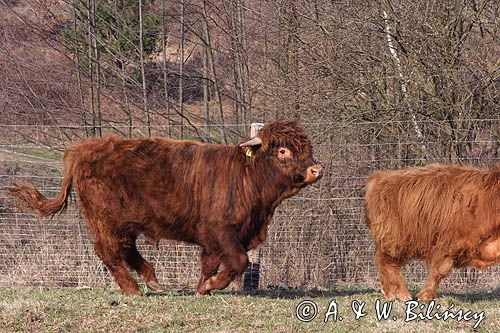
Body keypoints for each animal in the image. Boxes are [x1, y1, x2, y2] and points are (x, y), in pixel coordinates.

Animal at [9, 118, 322, 294]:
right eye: (283, 151)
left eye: (307, 149)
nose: (316, 169)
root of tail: (84, 149)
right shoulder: (221, 230)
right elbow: (238, 261)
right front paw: (211, 286)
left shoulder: (216, 236)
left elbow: (210, 263)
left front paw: (202, 288)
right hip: (106, 219)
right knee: (108, 251)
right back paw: (133, 289)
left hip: (126, 221)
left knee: (126, 249)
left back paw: (152, 280)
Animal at [366, 163, 498, 300]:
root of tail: (380, 176)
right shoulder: (448, 243)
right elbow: (440, 271)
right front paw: (425, 295)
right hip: (393, 237)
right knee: (386, 261)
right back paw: (402, 294)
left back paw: (388, 292)